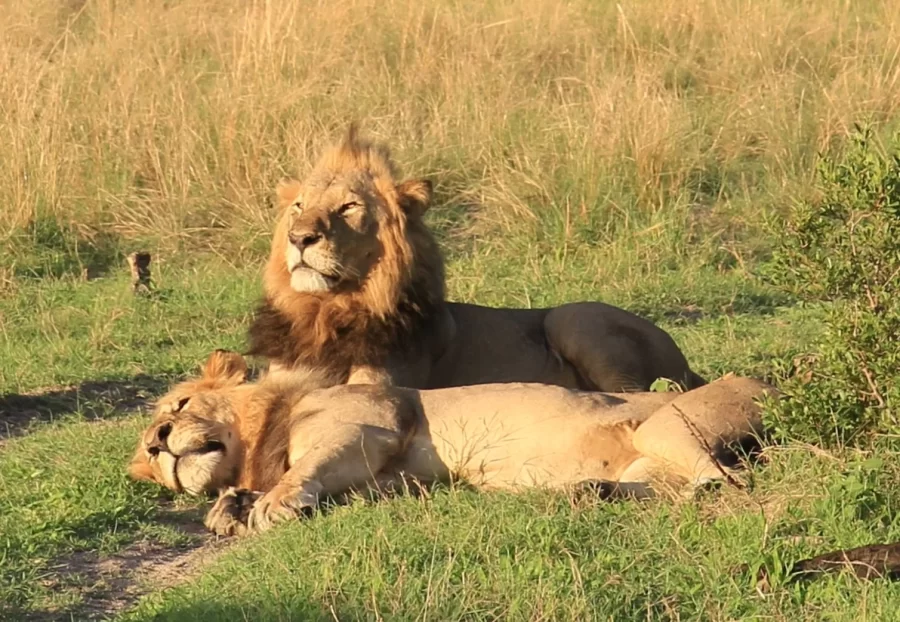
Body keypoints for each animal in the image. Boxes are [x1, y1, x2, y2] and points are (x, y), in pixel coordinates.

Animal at [129, 350, 775, 537]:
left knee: (722, 481)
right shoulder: (388, 479)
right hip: (645, 461)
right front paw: (228, 507)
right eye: (150, 464)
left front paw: (269, 504)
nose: (159, 442)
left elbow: (298, 473)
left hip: (667, 425)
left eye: (178, 406)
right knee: (663, 485)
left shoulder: (373, 425)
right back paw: (588, 492)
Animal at [247, 125, 706, 392]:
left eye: (348, 207)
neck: (326, 312)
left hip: (576, 317)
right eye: (299, 206)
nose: (300, 238)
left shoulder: (378, 385)